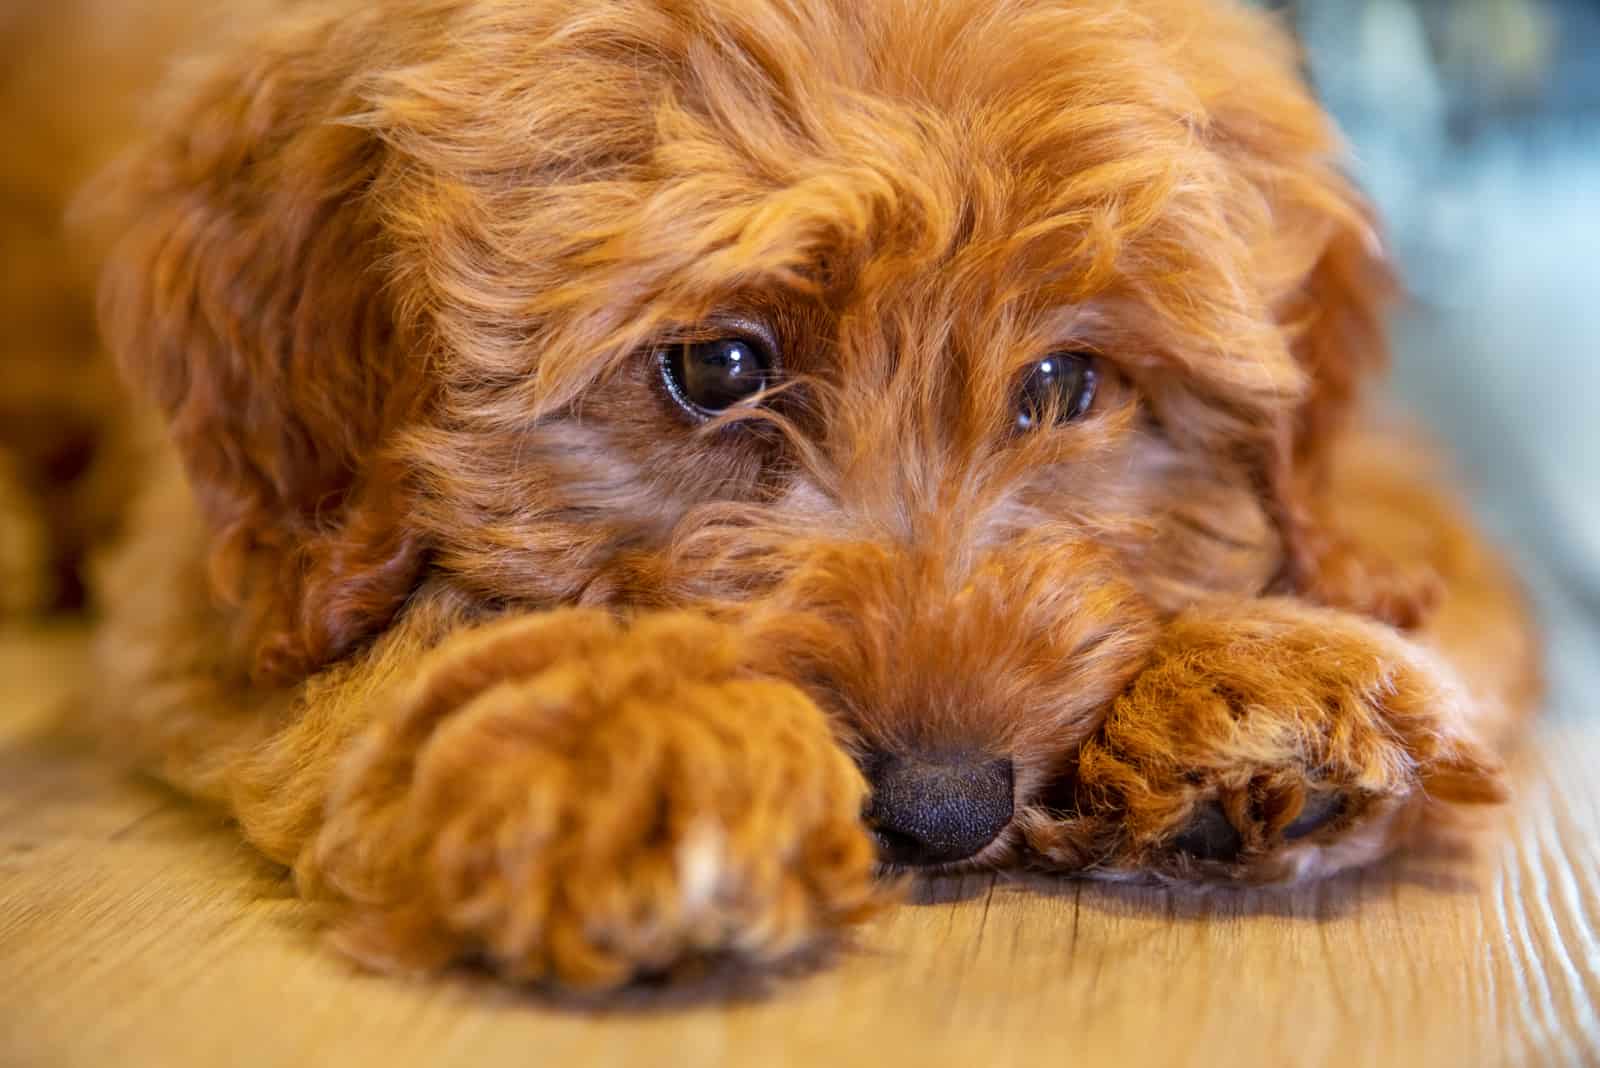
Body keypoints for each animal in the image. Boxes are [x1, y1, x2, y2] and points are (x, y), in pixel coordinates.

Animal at [6, 0, 1542, 991]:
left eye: (1063, 383)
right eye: (717, 366)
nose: (944, 808)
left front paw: (1263, 680)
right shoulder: (219, 570)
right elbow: (400, 642)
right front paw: (637, 736)